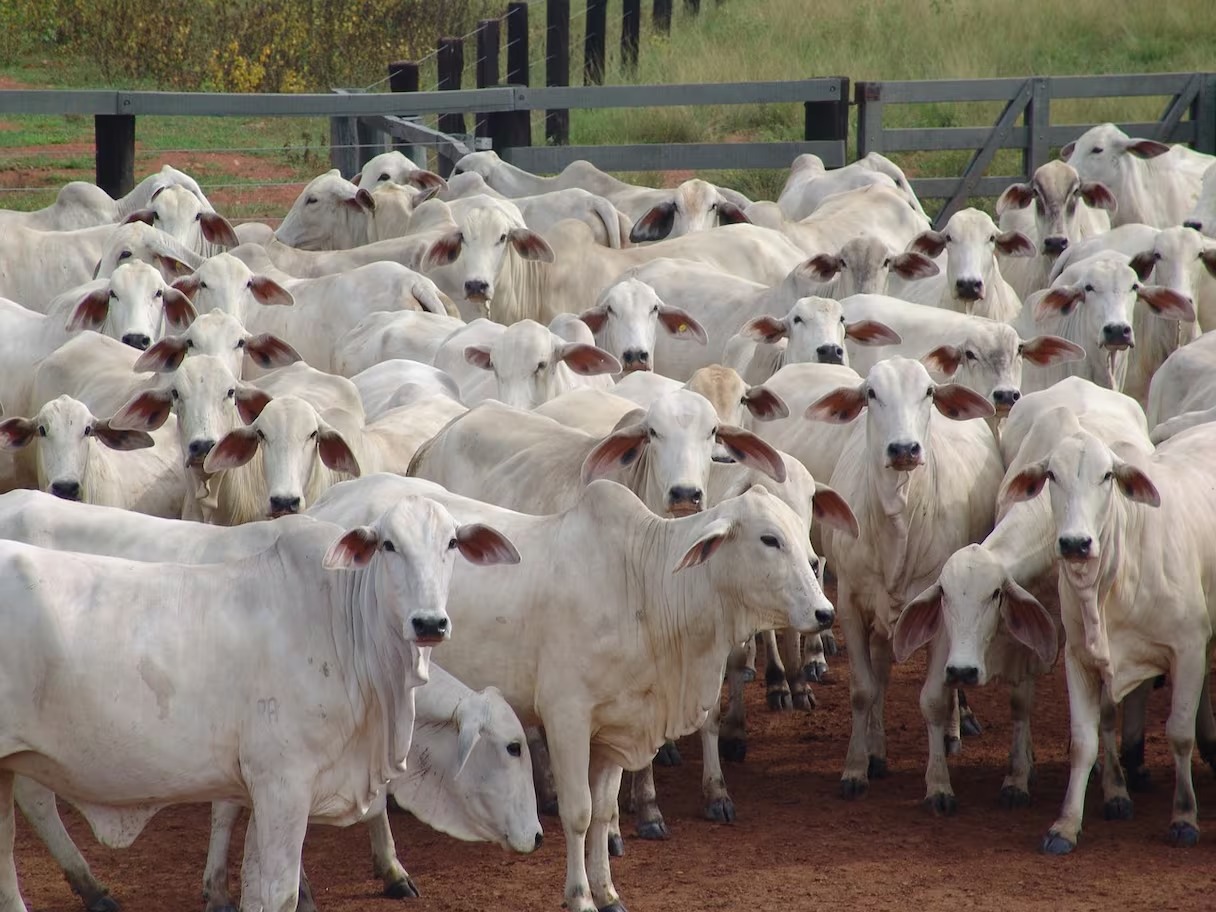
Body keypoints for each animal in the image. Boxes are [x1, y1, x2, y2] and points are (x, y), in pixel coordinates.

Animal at [812, 357, 1001, 797]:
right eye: (871, 393)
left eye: (928, 392)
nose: (903, 449)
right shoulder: (850, 603)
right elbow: (864, 689)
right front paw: (856, 767)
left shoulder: (943, 606)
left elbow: (934, 698)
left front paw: (939, 784)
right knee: (881, 673)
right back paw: (877, 750)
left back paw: (951, 734)